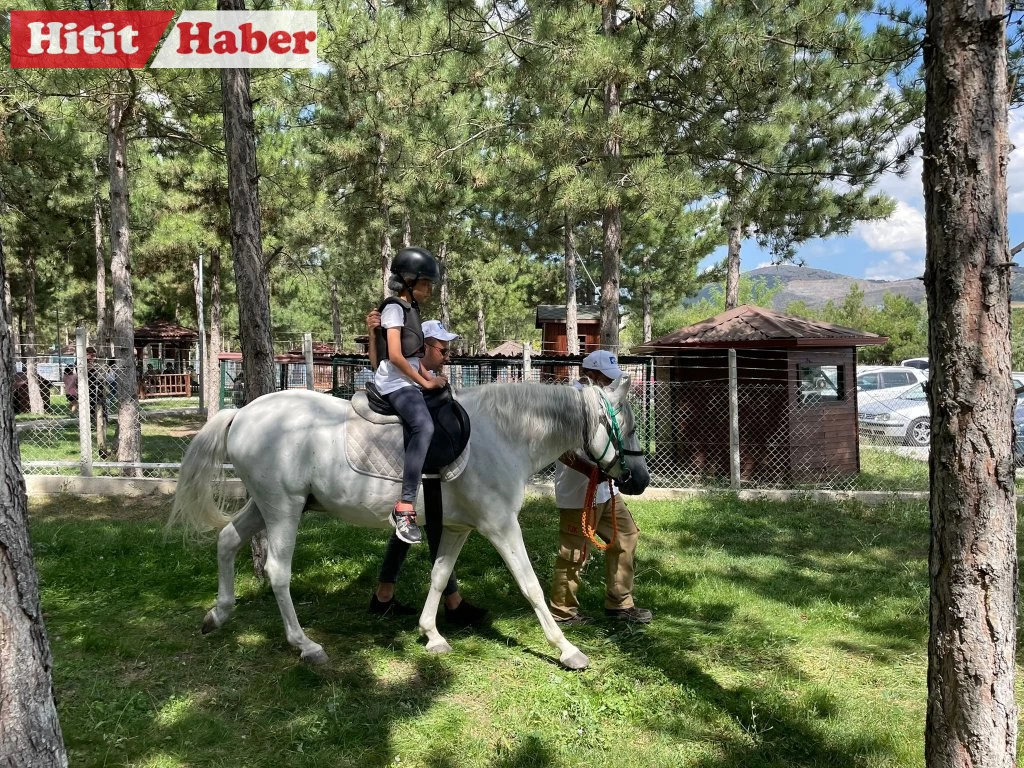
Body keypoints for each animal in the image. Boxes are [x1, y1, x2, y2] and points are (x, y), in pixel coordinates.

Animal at [166, 376, 647, 671]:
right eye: (627, 426)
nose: (640, 480)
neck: (504, 434)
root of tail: (243, 412)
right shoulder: (500, 526)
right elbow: (530, 586)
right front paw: (568, 650)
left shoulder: (456, 529)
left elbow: (439, 577)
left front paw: (431, 634)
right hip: (282, 508)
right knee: (277, 572)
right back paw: (305, 645)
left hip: (268, 505)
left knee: (227, 541)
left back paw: (218, 614)